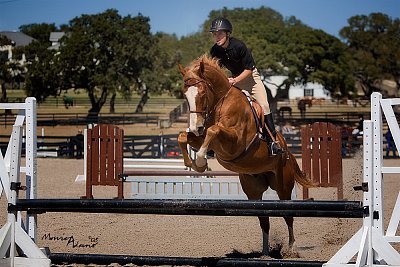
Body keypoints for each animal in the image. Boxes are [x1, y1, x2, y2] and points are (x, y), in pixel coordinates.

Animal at [177, 54, 316, 255]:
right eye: (185, 94)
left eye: (202, 93)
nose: (195, 127)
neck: (222, 102)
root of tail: (288, 152)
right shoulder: (203, 137)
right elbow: (183, 137)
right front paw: (194, 164)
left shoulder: (234, 142)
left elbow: (213, 130)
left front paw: (201, 160)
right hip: (253, 190)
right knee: (263, 220)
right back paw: (265, 254)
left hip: (283, 187)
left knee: (288, 216)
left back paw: (291, 248)